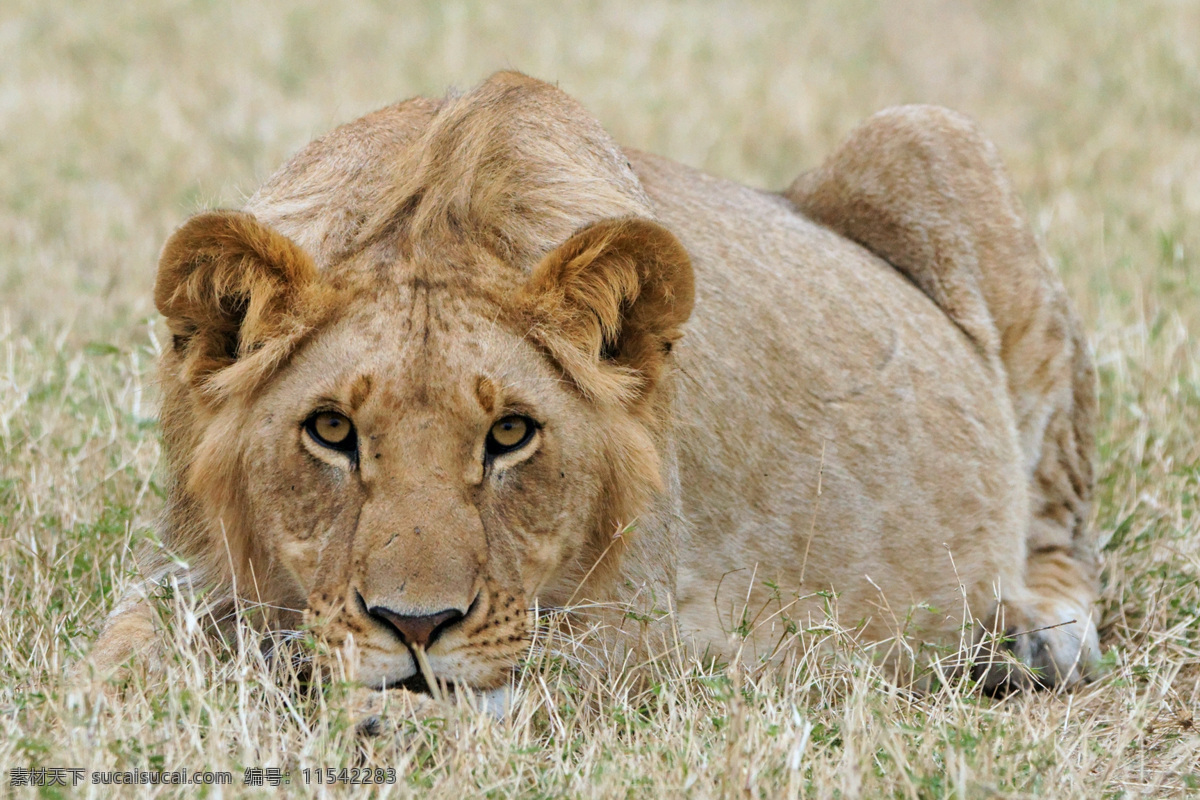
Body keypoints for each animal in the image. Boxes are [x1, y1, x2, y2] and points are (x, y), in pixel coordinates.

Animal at [88, 71, 1099, 705]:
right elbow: (125, 648)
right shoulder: (191, 564)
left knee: (1059, 527)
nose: (416, 627)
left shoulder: (646, 638)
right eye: (331, 431)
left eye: (511, 435)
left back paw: (1033, 638)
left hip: (938, 140)